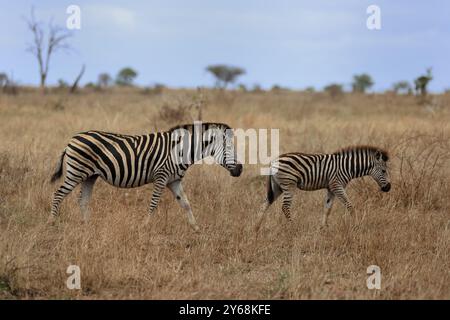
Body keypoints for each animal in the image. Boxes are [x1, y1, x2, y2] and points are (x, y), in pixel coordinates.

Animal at [49, 121, 243, 231]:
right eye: (229, 148)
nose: (240, 169)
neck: (180, 151)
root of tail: (72, 139)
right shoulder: (161, 176)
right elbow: (154, 204)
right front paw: (145, 226)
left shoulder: (174, 180)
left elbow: (186, 204)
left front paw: (196, 229)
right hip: (76, 172)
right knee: (58, 194)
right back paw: (52, 223)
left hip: (90, 176)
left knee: (82, 200)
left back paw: (88, 226)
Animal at [256, 145, 390, 230]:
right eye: (383, 171)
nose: (388, 188)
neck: (347, 167)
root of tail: (274, 162)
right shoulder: (337, 185)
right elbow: (350, 206)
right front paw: (356, 226)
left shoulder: (331, 188)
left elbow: (327, 208)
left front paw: (323, 228)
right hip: (289, 185)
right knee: (285, 207)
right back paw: (293, 227)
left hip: (277, 187)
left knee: (264, 205)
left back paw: (256, 229)